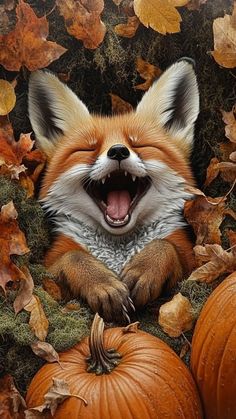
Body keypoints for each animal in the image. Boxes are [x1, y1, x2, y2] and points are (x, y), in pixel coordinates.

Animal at [29, 58, 199, 322]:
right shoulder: (48, 268)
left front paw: (145, 268)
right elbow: (73, 257)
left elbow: (165, 246)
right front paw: (101, 284)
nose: (118, 151)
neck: (118, 248)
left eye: (140, 144)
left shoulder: (189, 261)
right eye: (88, 148)